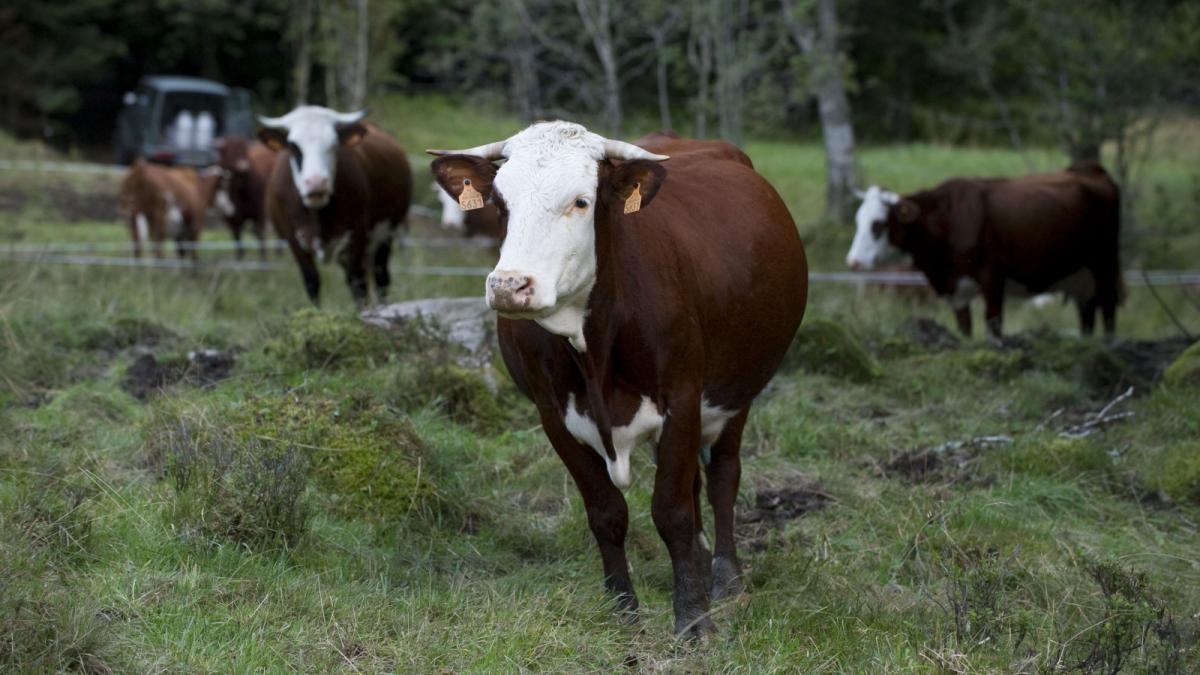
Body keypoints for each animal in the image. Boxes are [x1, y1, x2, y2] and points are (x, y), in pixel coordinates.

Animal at [258, 106, 412, 306]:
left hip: (385, 234)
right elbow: (312, 281)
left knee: (380, 277)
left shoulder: (357, 233)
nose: (316, 183)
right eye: (294, 147)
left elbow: (357, 281)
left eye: (333, 145)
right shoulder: (293, 239)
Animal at [430, 122, 808, 637]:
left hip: (737, 389)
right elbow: (607, 512)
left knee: (722, 476)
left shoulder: (683, 397)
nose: (509, 286)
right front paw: (623, 609)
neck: (592, 349)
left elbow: (671, 512)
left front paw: (692, 619)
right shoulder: (553, 415)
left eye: (581, 201)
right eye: (500, 203)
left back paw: (725, 576)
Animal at [845, 163, 1122, 337]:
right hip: (1081, 275)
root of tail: (1092, 170)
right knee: (1087, 311)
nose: (853, 262)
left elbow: (993, 325)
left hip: (1104, 264)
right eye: (857, 220)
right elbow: (965, 328)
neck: (950, 220)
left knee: (1108, 308)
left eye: (878, 224)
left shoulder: (993, 279)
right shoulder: (957, 290)